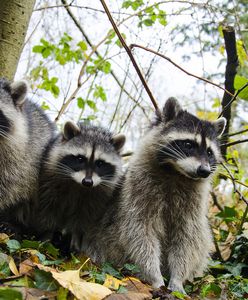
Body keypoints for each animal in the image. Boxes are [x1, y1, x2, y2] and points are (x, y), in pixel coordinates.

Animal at [35, 120, 125, 250]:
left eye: (100, 163)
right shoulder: (50, 181)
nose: (87, 182)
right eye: (80, 158)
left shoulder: (98, 195)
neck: (78, 185)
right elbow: (49, 209)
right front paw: (47, 233)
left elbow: (84, 216)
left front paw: (76, 234)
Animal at [86, 98, 227, 292]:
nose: (204, 171)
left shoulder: (192, 205)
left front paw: (178, 278)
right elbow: (139, 232)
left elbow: (188, 238)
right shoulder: (137, 191)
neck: (176, 173)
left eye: (209, 152)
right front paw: (154, 275)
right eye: (188, 144)